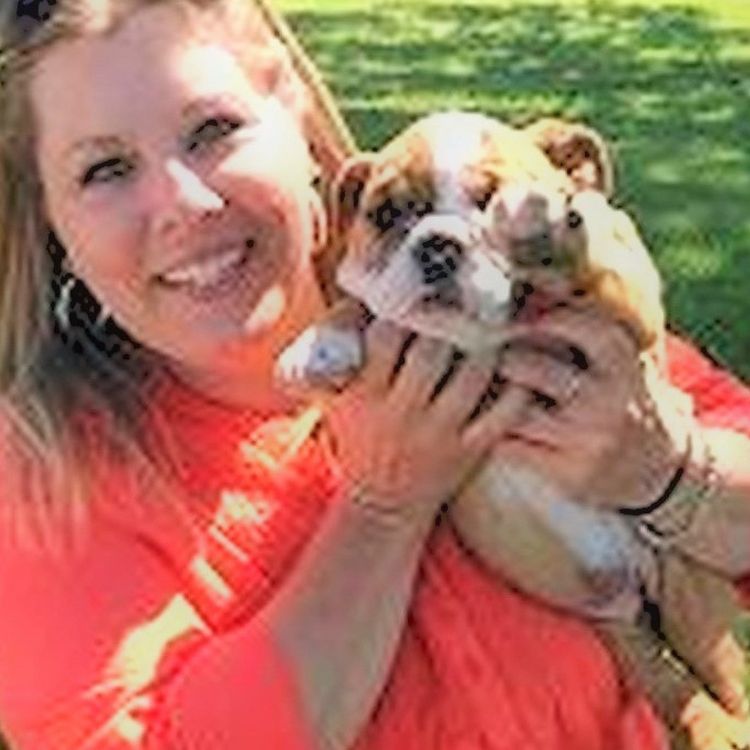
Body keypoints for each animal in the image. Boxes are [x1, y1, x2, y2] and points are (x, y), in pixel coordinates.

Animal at [278, 111, 750, 750]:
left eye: (488, 199)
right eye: (387, 213)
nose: (439, 245)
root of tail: (630, 586)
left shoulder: (635, 308)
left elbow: (601, 271)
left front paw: (551, 229)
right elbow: (364, 306)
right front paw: (318, 344)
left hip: (694, 600)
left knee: (728, 679)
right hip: (623, 636)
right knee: (672, 684)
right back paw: (707, 728)